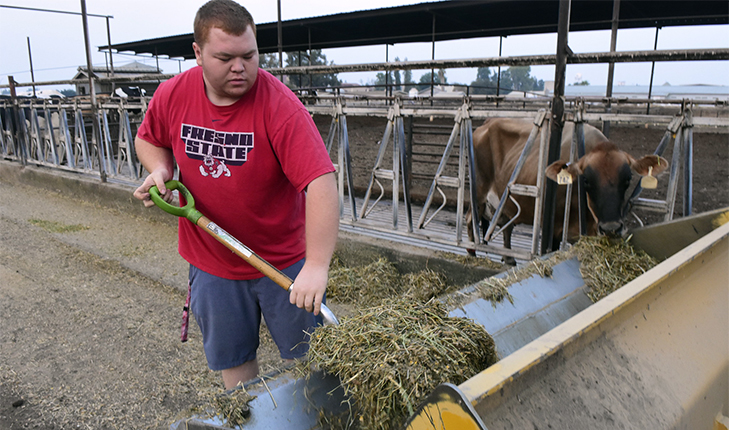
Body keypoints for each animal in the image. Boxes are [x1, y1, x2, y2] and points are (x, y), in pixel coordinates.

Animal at [466, 116, 664, 260]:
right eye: (586, 180)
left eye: (628, 179)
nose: (611, 228)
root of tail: (487, 123)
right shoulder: (553, 229)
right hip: (478, 193)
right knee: (470, 219)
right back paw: (471, 252)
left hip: (505, 200)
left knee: (506, 226)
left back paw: (508, 258)